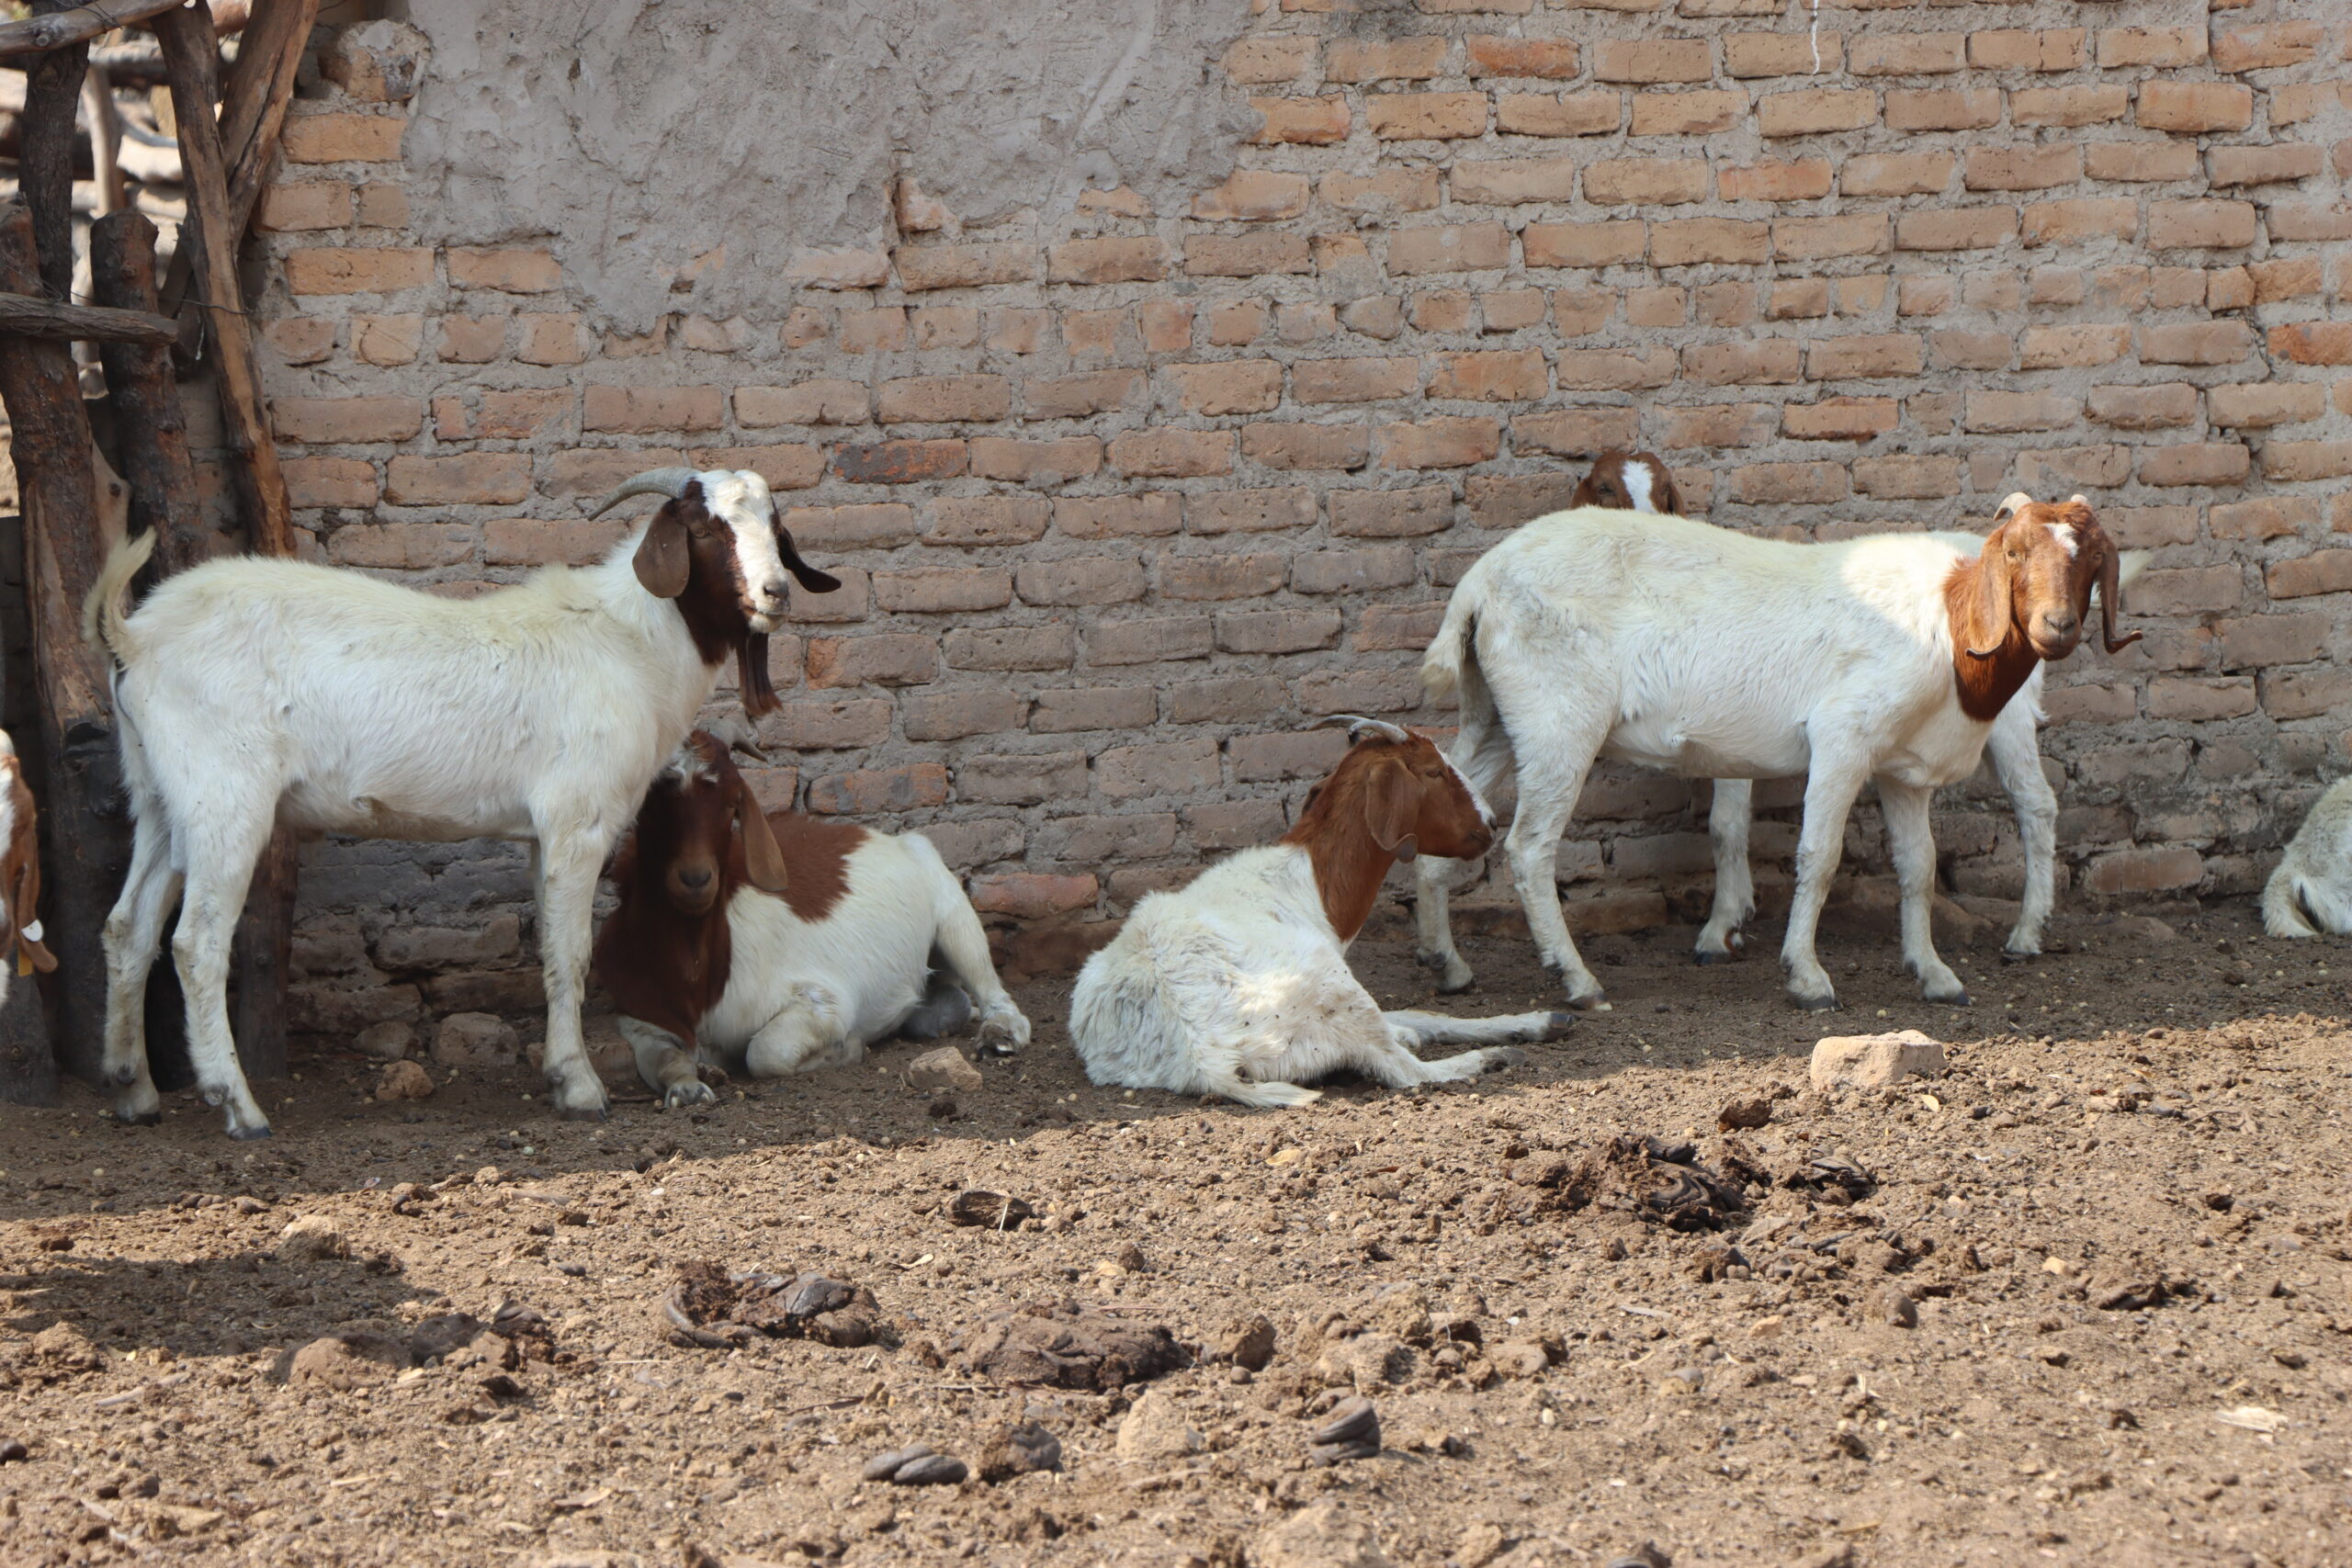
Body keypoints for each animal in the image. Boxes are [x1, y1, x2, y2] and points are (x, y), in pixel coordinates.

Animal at [1077, 719, 1571, 1109]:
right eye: (1434, 772)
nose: (1490, 824)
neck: (1307, 883)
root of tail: (1199, 1051)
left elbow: (1425, 1015)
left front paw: (1536, 1020)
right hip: (1332, 988)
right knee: (1408, 1072)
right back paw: (1494, 1058)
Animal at [1420, 501, 2144, 1020]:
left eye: (2091, 561)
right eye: (2016, 553)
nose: (2057, 626)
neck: (1951, 617)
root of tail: (1478, 585)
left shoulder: (1902, 767)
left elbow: (1919, 867)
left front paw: (1934, 974)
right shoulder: (1843, 736)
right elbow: (1819, 858)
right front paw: (1807, 977)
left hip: (1495, 717)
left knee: (1443, 823)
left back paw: (1448, 966)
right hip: (1557, 718)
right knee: (1529, 847)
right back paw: (1576, 979)